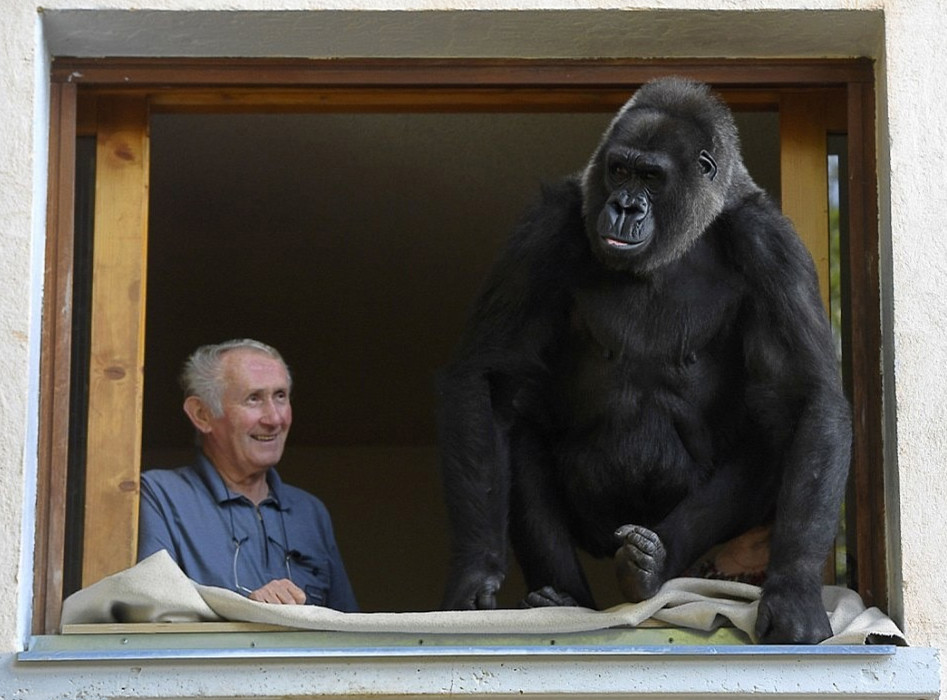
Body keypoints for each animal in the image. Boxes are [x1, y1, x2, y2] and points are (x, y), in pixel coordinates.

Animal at [440, 78, 856, 644]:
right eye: (619, 170)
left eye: (651, 177)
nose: (625, 207)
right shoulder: (545, 227)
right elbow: (487, 376)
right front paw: (475, 572)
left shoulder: (771, 244)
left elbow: (807, 395)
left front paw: (792, 589)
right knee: (519, 433)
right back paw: (562, 598)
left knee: (772, 442)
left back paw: (650, 568)